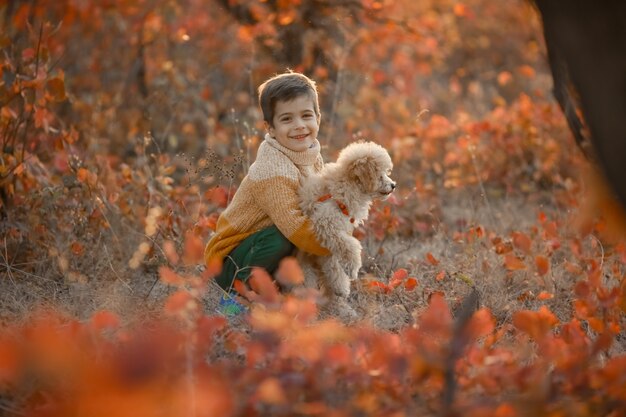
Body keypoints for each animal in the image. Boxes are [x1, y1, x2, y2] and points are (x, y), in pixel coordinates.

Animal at [296, 141, 392, 298]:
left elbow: (333, 262)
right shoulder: (326, 224)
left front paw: (340, 286)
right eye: (380, 175)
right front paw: (352, 268)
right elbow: (350, 245)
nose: (393, 185)